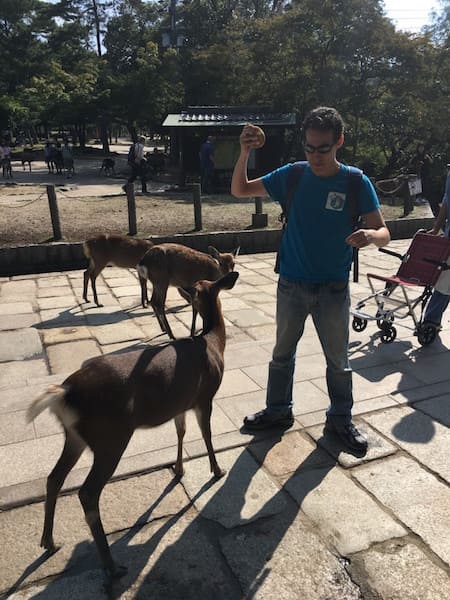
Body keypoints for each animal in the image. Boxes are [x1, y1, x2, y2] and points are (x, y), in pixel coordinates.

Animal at [27, 270, 239, 588]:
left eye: (197, 286)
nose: (184, 287)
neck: (214, 343)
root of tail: (65, 393)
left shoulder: (180, 404)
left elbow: (181, 432)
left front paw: (179, 470)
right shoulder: (205, 396)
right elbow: (206, 434)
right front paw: (216, 470)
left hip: (75, 436)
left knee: (54, 478)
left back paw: (49, 542)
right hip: (110, 436)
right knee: (87, 493)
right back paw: (111, 567)